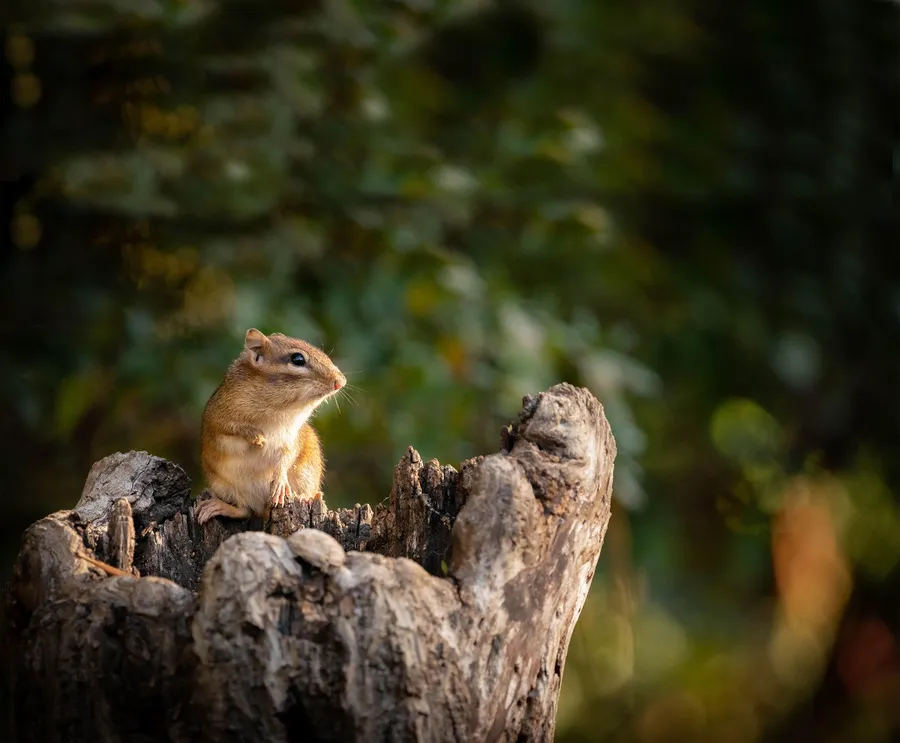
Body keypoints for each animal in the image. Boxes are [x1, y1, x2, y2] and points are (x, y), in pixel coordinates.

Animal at [194, 328, 346, 525]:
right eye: (297, 359)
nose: (340, 381)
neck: (280, 411)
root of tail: (262, 508)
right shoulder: (217, 417)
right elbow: (230, 428)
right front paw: (255, 436)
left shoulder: (291, 438)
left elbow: (286, 457)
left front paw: (280, 482)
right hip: (226, 487)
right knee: (244, 510)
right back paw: (217, 506)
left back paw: (307, 497)